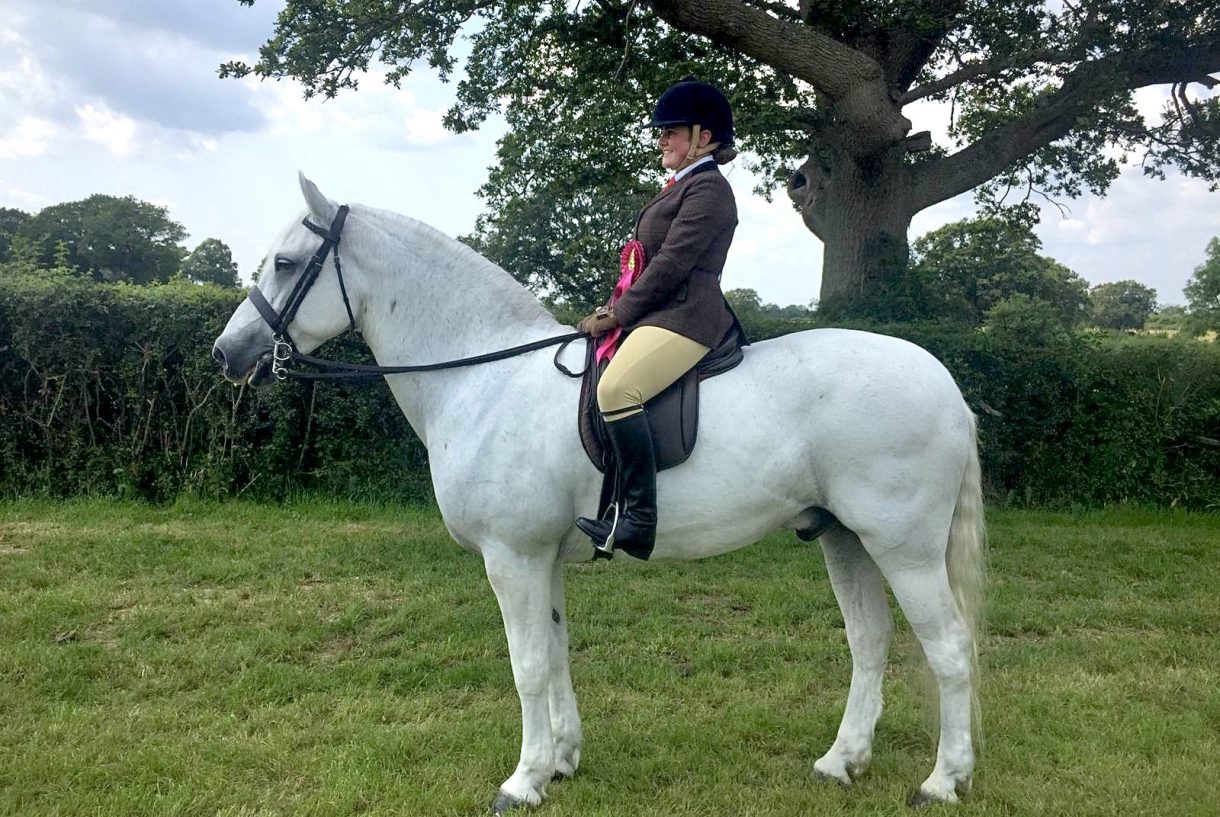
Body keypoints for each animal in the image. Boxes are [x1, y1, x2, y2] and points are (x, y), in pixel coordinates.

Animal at [212, 174, 986, 813]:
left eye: (286, 264)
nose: (227, 354)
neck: (483, 374)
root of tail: (946, 383)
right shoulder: (541, 558)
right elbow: (555, 654)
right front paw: (561, 761)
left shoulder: (513, 556)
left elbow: (526, 665)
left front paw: (522, 781)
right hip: (842, 535)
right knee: (870, 640)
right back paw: (840, 762)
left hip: (903, 546)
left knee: (949, 648)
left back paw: (942, 780)